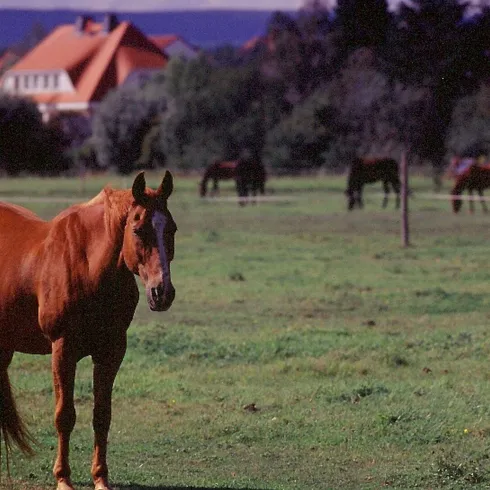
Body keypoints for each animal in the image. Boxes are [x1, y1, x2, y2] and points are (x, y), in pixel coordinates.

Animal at [0, 171, 176, 490]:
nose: (162, 293)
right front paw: (63, 478)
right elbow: (64, 416)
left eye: (172, 229)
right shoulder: (63, 350)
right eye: (138, 229)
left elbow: (102, 416)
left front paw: (100, 478)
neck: (89, 267)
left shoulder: (111, 351)